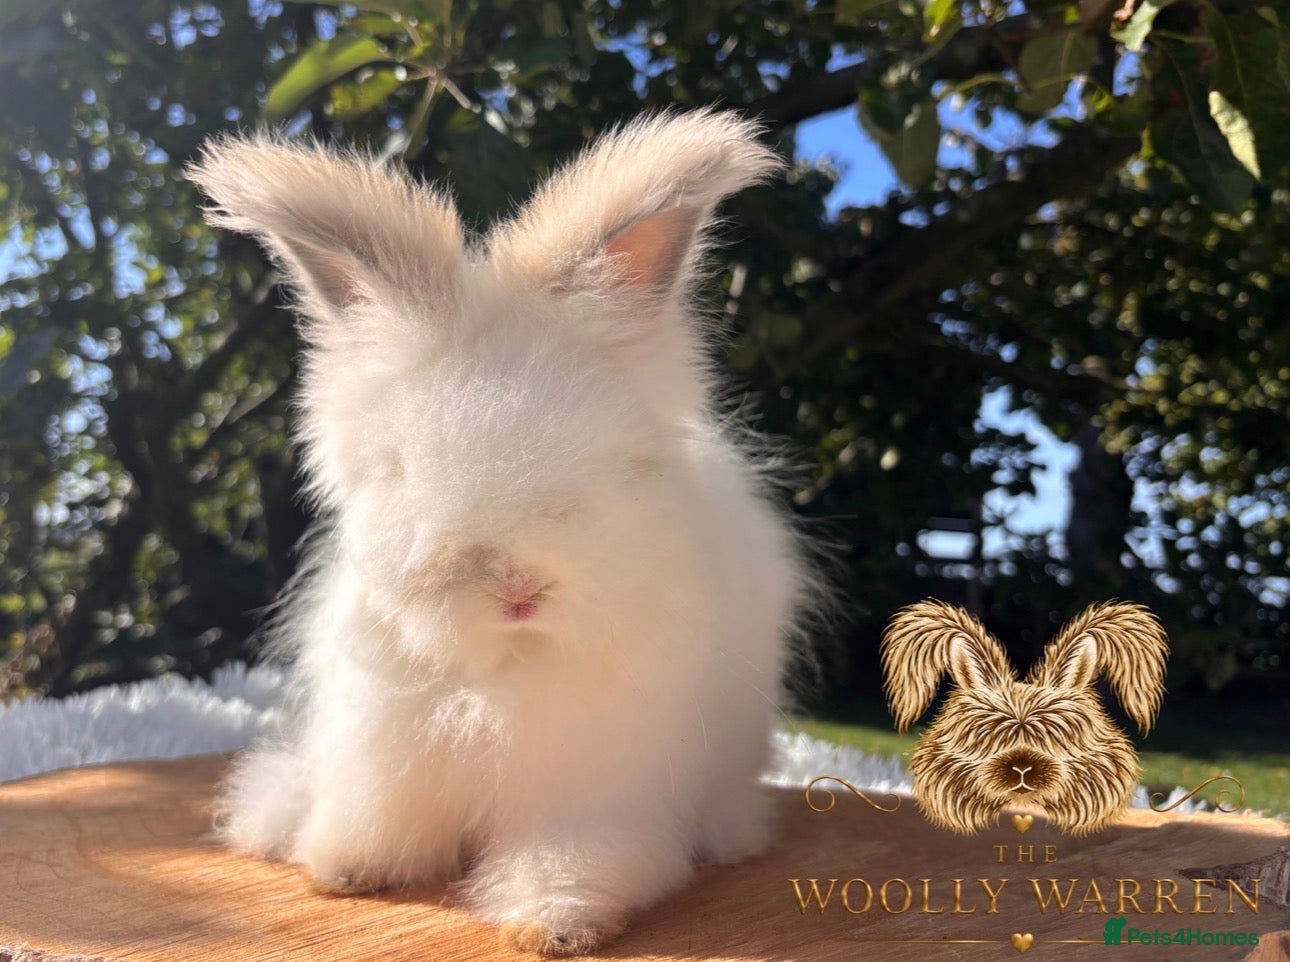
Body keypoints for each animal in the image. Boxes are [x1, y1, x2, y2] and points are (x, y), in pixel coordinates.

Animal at [187, 110, 819, 956]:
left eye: (605, 466)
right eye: (399, 468)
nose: (516, 587)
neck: (502, 670)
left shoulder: (596, 785)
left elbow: (571, 855)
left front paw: (553, 920)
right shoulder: (389, 749)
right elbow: (385, 823)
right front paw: (345, 867)